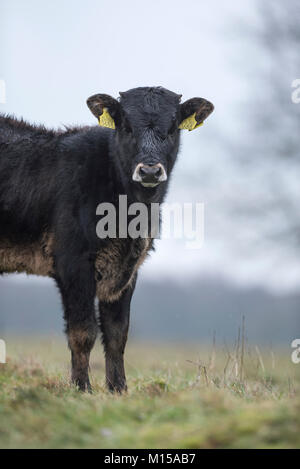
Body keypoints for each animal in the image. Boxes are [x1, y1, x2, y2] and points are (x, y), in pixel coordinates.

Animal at [0, 87, 213, 392]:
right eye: (126, 126)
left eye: (172, 127)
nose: (149, 171)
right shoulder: (73, 262)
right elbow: (83, 331)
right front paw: (81, 388)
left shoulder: (128, 270)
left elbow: (117, 333)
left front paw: (118, 388)